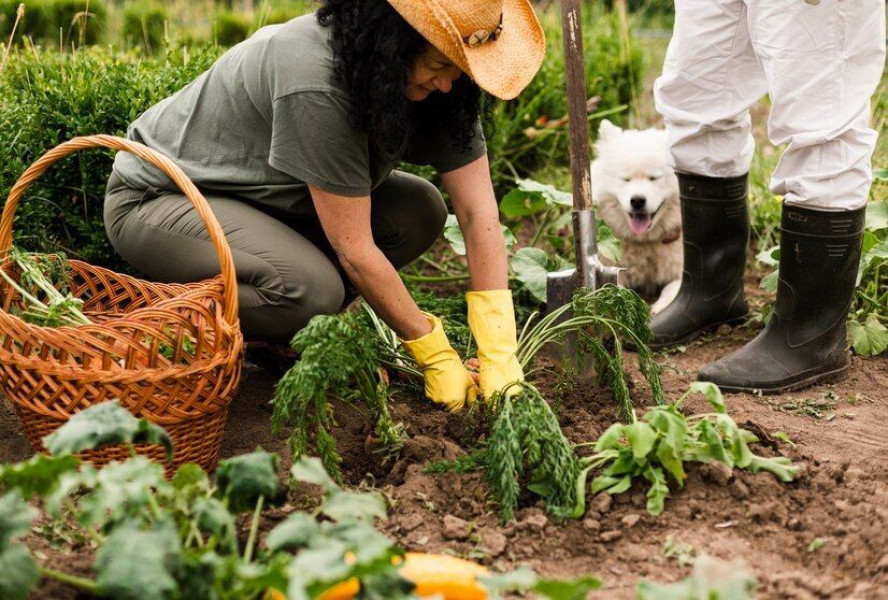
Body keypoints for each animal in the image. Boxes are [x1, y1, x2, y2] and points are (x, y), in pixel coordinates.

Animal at [592, 118, 684, 314]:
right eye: (625, 179)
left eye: (653, 178)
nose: (637, 200)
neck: (646, 241)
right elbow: (615, 290)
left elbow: (673, 288)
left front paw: (661, 307)